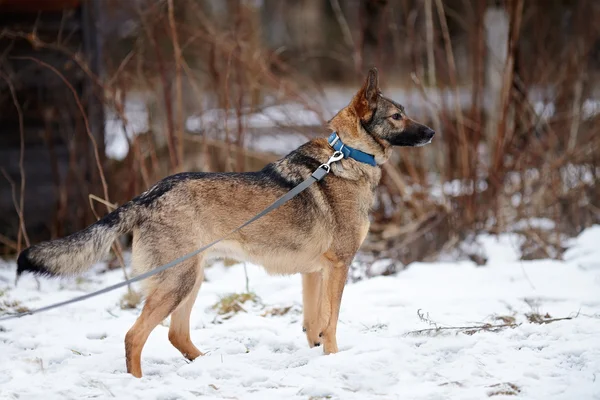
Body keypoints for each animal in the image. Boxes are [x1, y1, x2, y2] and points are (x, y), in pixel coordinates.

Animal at [16, 67, 434, 376]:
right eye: (397, 116)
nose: (431, 132)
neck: (346, 157)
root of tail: (150, 193)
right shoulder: (338, 267)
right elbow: (330, 322)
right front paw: (333, 360)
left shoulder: (313, 273)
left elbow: (313, 324)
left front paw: (318, 357)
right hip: (178, 282)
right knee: (134, 336)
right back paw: (139, 383)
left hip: (190, 280)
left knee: (176, 335)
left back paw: (207, 366)